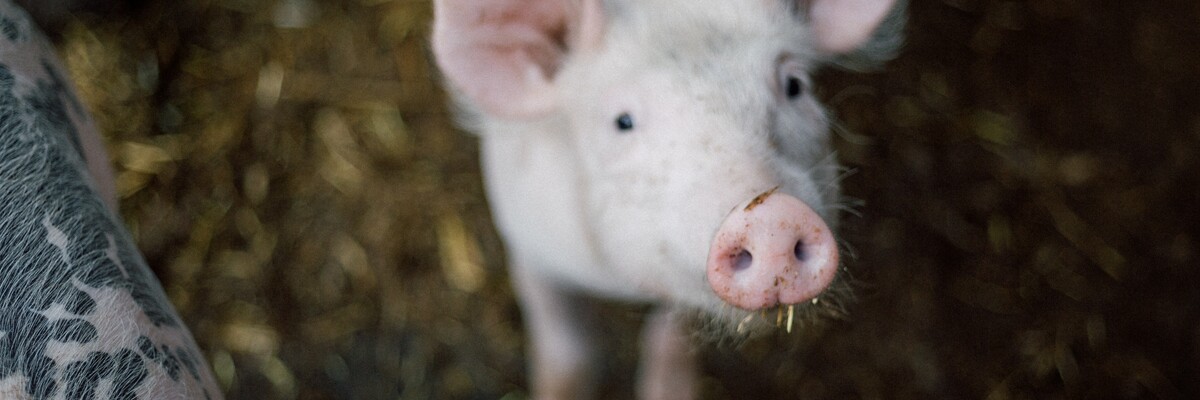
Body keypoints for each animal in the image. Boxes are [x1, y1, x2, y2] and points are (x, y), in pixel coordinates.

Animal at [432, 0, 902, 398]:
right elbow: (568, 353)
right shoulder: (527, 242)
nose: (774, 217)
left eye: (794, 86)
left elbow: (670, 335)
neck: (621, 283)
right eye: (622, 121)